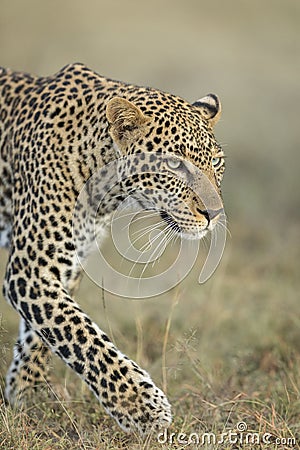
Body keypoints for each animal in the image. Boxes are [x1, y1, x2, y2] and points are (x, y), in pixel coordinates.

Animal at [0, 61, 225, 434]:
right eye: (175, 164)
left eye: (217, 162)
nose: (215, 213)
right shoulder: (31, 270)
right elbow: (81, 335)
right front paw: (142, 408)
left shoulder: (65, 266)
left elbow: (42, 335)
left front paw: (23, 397)